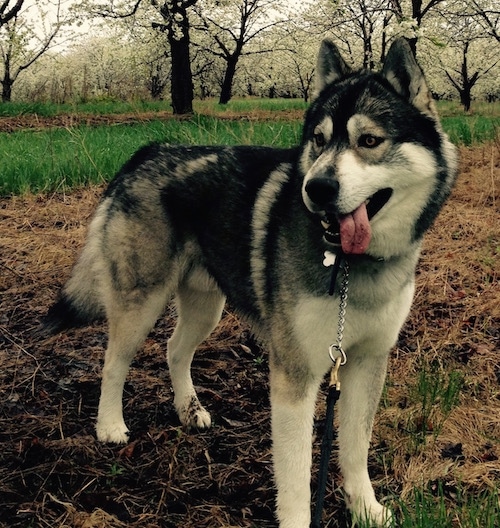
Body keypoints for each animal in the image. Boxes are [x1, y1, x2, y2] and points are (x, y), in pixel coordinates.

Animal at [45, 39, 458, 524]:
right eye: (318, 140)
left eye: (369, 141)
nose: (317, 188)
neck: (351, 266)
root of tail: (149, 151)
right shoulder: (295, 374)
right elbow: (296, 475)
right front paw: (301, 519)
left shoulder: (367, 360)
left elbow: (356, 449)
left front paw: (365, 509)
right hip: (141, 300)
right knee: (114, 361)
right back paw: (110, 425)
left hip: (207, 306)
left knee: (175, 349)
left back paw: (190, 410)